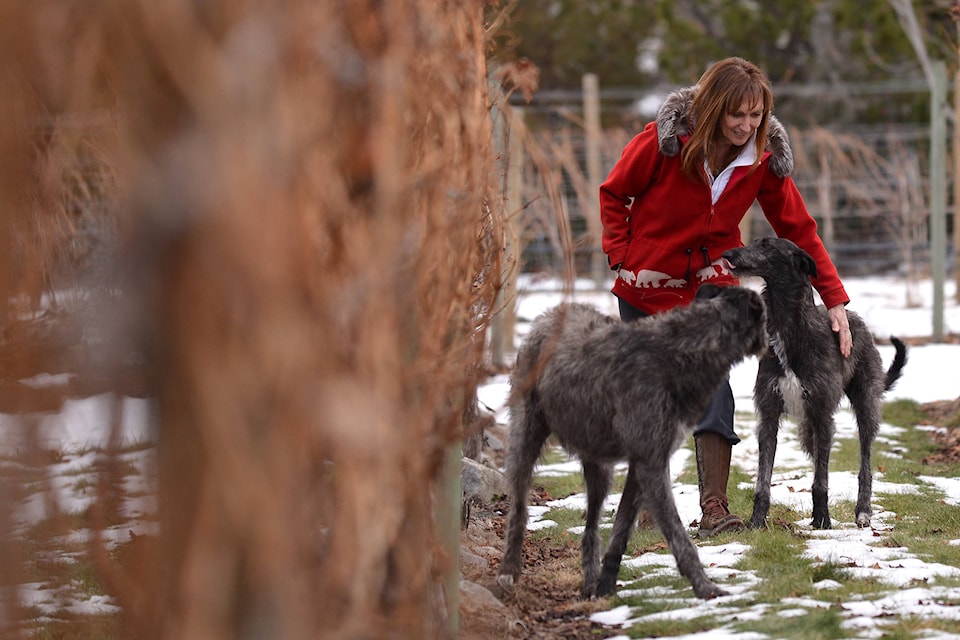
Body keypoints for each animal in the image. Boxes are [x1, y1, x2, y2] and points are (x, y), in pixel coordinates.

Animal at [496, 284, 764, 600]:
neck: (677, 352)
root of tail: (547, 316)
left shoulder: (641, 464)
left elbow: (621, 530)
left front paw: (606, 585)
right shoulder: (651, 465)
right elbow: (677, 533)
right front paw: (704, 587)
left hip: (598, 464)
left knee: (590, 529)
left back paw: (590, 584)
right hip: (526, 437)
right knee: (519, 507)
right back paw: (509, 570)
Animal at [724, 236, 904, 528]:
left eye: (766, 245)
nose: (728, 254)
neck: (791, 331)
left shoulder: (822, 415)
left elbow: (821, 479)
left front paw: (822, 520)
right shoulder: (769, 416)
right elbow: (763, 478)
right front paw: (757, 521)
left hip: (865, 405)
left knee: (865, 460)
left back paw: (863, 510)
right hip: (807, 427)